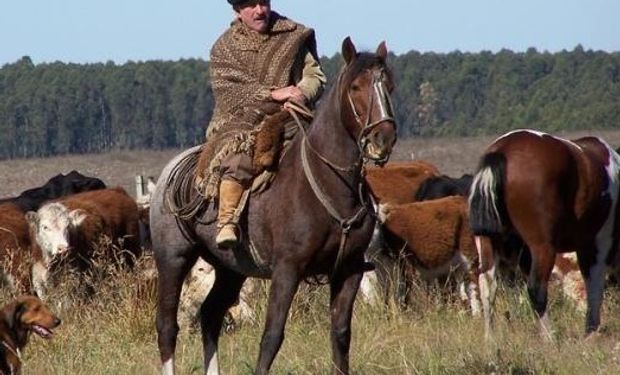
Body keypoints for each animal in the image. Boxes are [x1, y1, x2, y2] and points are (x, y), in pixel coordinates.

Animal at [150, 38, 398, 375]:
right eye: (356, 86)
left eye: (389, 85)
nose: (382, 139)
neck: (328, 184)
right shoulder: (287, 270)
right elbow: (272, 336)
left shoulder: (349, 271)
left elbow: (341, 335)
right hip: (173, 259)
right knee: (167, 326)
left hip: (230, 268)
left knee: (211, 315)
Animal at [470, 129, 620, 340]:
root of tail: (501, 150)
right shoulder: (597, 244)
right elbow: (595, 285)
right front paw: (591, 330)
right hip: (542, 246)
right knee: (537, 287)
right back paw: (550, 336)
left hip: (490, 243)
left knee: (488, 286)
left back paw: (490, 338)